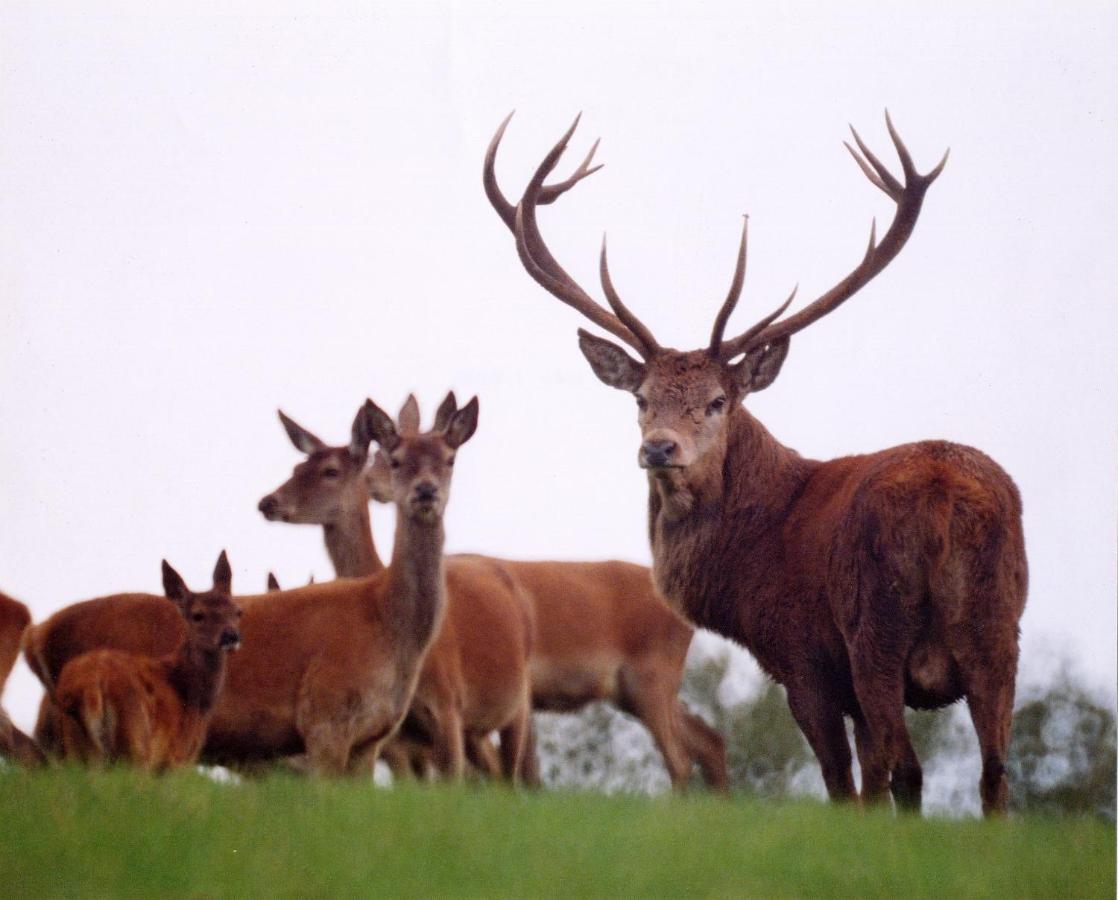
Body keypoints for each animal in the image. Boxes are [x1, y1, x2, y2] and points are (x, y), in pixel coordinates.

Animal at [53, 552, 241, 769]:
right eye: (198, 615)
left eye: (238, 612)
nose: (231, 636)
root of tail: (91, 685)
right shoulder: (175, 759)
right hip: (134, 739)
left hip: (76, 748)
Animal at [259, 395, 724, 791]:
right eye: (296, 468)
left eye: (330, 470)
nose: (268, 502)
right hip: (634, 689)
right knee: (709, 740)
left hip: (650, 676)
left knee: (680, 759)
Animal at [485, 112, 1024, 813]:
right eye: (641, 397)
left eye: (718, 401)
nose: (659, 447)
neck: (750, 560)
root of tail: (942, 498)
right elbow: (871, 785)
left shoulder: (803, 659)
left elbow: (846, 785)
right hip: (999, 630)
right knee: (994, 775)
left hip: (874, 629)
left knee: (912, 770)